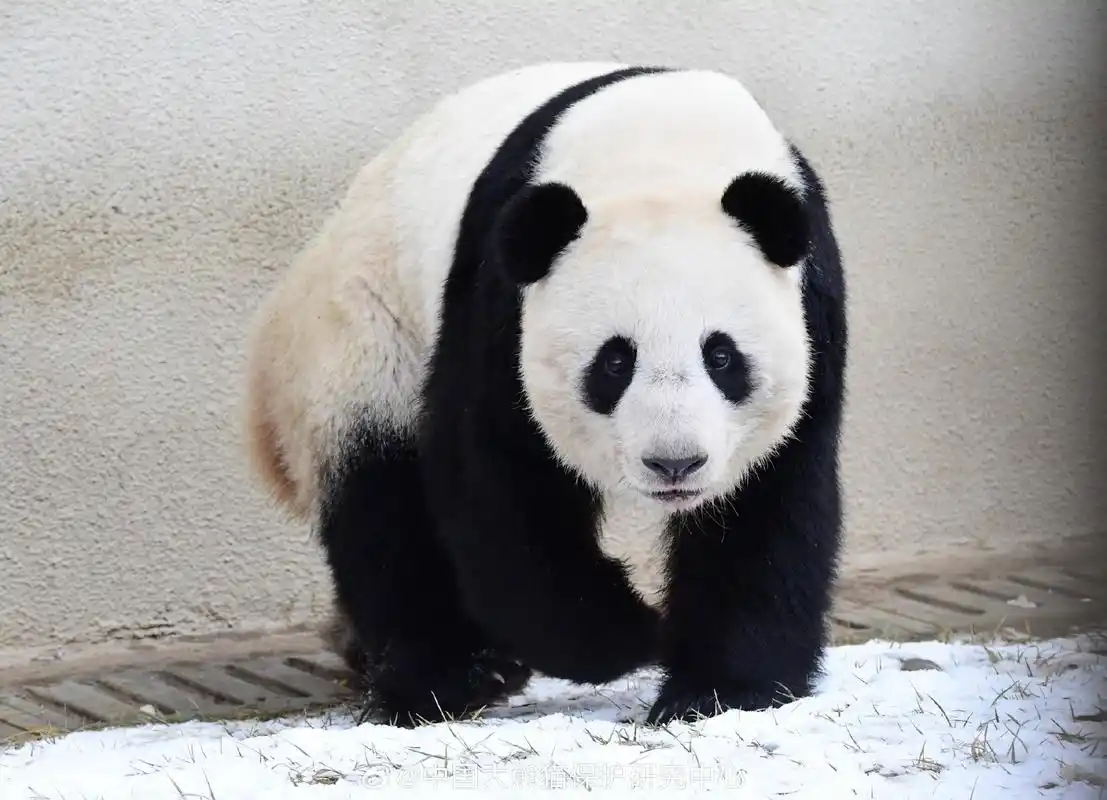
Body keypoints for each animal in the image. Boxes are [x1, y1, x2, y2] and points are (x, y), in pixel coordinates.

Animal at [243, 61, 848, 727]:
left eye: (721, 357)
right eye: (615, 362)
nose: (674, 464)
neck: (663, 146)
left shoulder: (813, 309)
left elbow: (768, 507)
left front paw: (720, 691)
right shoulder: (498, 296)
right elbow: (499, 488)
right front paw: (630, 632)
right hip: (367, 341)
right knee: (383, 507)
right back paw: (451, 676)